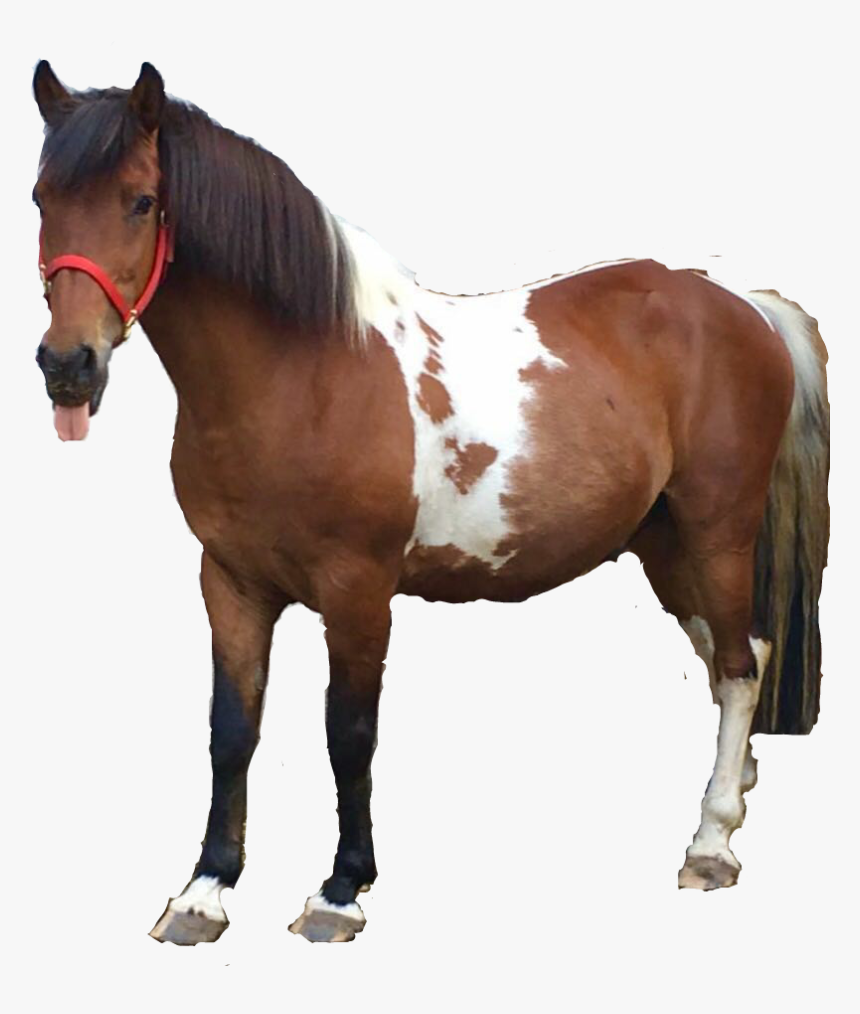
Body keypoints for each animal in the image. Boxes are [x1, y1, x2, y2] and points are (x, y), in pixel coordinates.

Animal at [31, 60, 829, 945]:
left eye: (141, 200)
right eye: (39, 198)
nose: (66, 366)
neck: (304, 373)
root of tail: (748, 306)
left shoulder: (357, 591)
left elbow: (349, 734)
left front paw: (340, 890)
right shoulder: (230, 583)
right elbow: (231, 729)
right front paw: (205, 891)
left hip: (718, 531)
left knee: (738, 666)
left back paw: (711, 844)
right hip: (662, 545)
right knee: (731, 657)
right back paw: (737, 792)